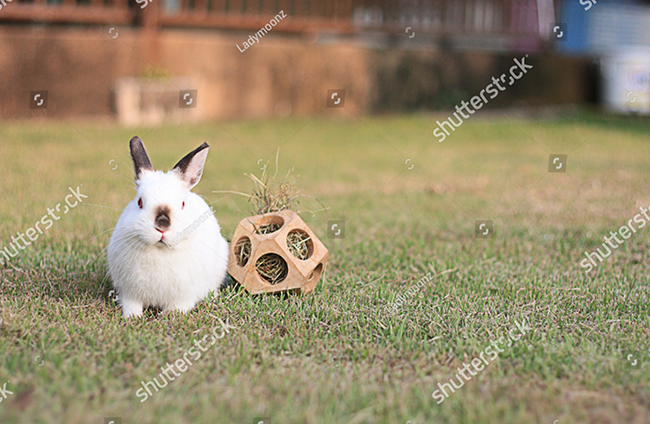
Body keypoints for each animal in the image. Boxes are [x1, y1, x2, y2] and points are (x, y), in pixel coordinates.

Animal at [107, 136, 228, 318]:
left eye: (182, 204)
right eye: (139, 202)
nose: (162, 225)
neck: (161, 250)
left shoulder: (184, 295)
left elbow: (178, 306)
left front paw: (168, 315)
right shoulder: (130, 293)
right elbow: (131, 305)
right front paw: (133, 316)